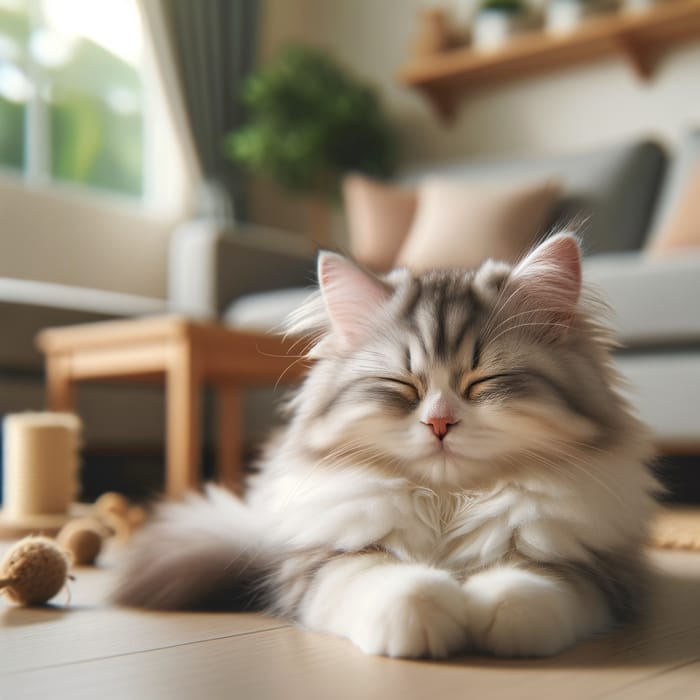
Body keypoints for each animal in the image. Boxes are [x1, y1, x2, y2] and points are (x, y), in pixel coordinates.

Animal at [112, 232, 660, 660]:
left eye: (483, 382)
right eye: (402, 386)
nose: (439, 423)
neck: (448, 503)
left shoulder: (602, 570)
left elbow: (529, 585)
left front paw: (490, 611)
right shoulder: (319, 562)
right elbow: (385, 580)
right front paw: (432, 610)